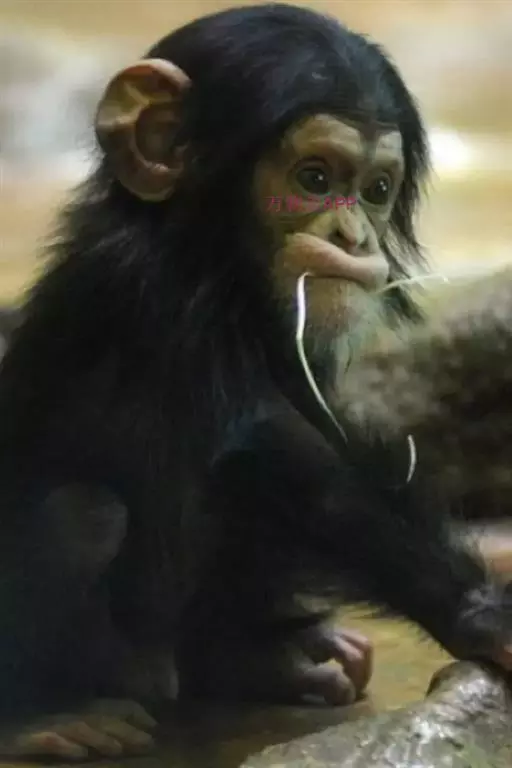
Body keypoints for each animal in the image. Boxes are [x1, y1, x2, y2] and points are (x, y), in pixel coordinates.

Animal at [0, 4, 511, 761]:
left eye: (376, 190)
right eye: (314, 177)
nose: (354, 237)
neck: (216, 263)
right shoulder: (155, 293)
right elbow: (273, 447)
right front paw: (481, 613)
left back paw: (267, 660)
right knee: (86, 516)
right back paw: (42, 717)